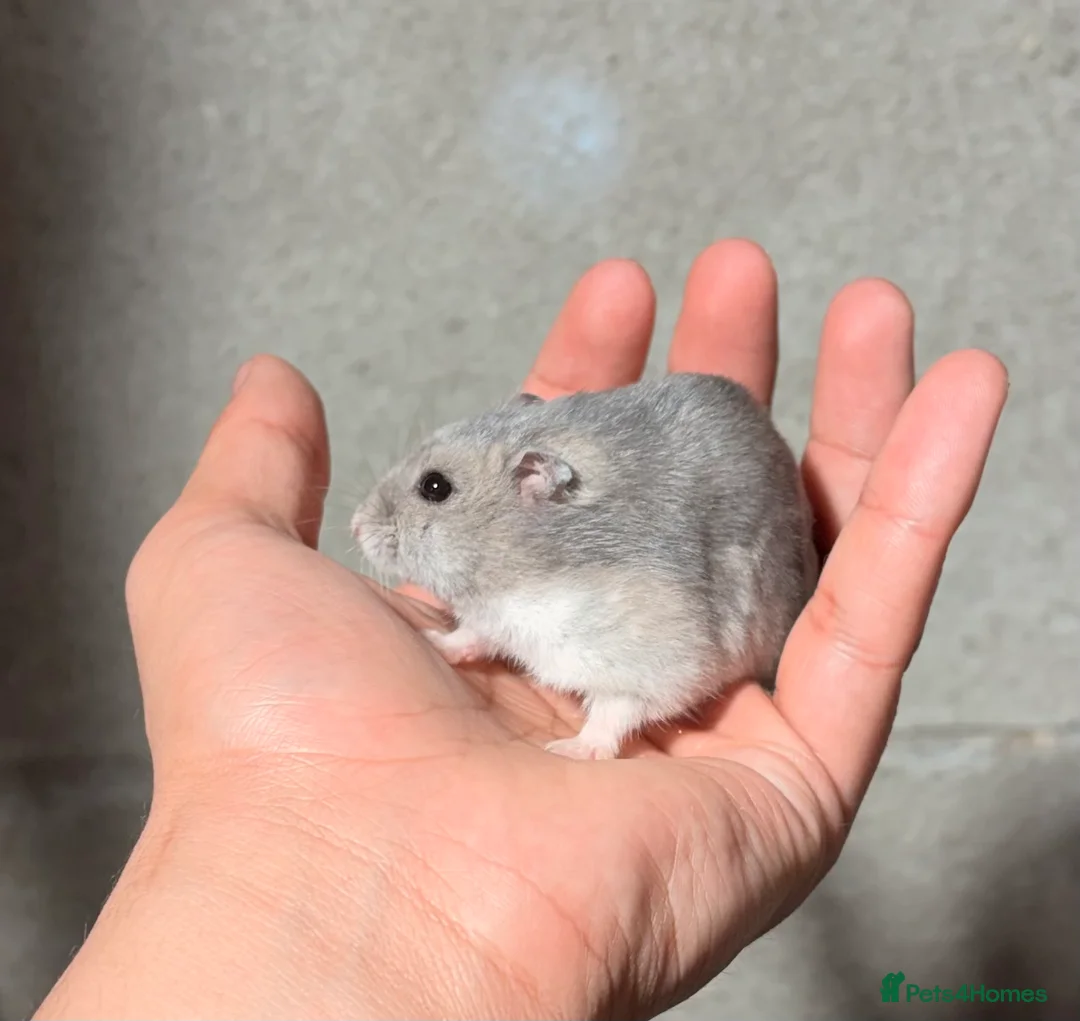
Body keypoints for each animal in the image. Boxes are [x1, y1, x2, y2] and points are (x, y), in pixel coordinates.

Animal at [351, 372, 818, 760]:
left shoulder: (659, 660)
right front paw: (431, 638)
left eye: (435, 486)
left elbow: (615, 711)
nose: (355, 526)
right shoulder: (496, 622)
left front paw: (570, 750)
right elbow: (469, 635)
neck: (515, 578)